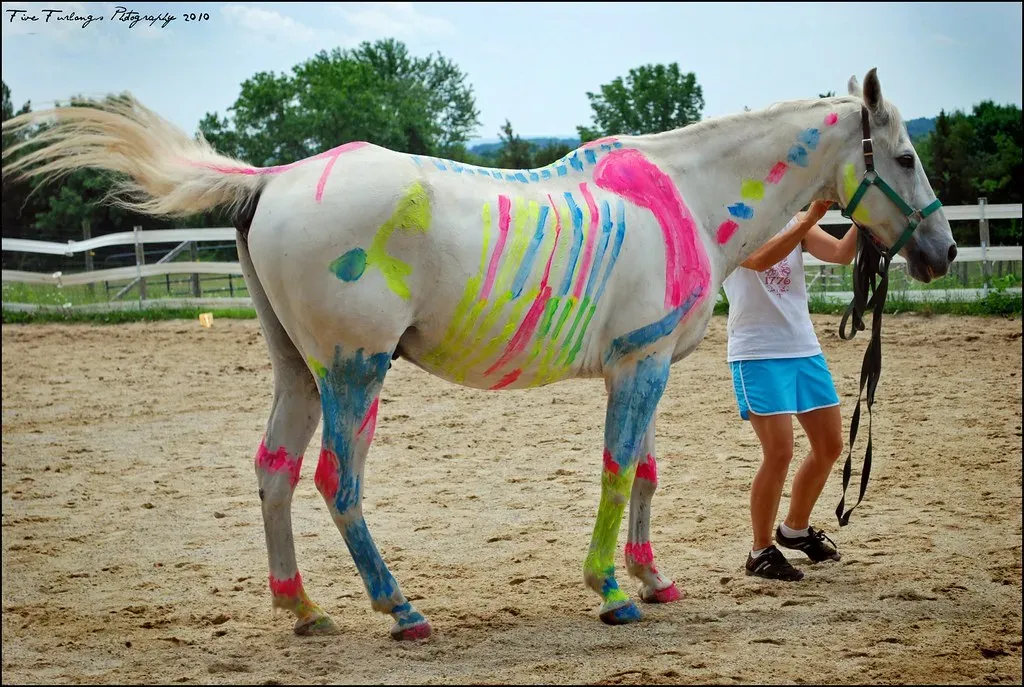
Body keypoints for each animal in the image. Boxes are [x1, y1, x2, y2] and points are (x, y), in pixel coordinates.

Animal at [2, 68, 957, 641]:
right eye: (906, 155)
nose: (942, 251)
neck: (682, 194)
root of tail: (275, 180)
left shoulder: (646, 366)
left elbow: (645, 473)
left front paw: (652, 578)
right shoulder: (635, 369)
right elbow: (617, 471)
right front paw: (611, 592)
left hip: (298, 371)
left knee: (274, 471)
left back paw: (304, 607)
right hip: (355, 370)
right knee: (336, 482)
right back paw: (399, 607)